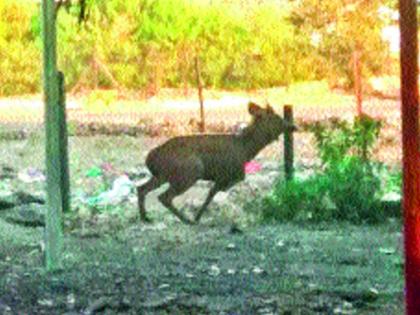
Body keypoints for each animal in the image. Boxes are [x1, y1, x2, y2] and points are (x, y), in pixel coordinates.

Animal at [137, 102, 292, 225]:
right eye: (276, 118)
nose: (292, 126)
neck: (246, 151)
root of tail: (150, 158)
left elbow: (212, 192)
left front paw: (198, 216)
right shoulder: (231, 173)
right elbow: (215, 190)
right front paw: (197, 217)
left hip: (162, 175)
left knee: (141, 188)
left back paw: (146, 217)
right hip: (190, 171)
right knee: (164, 197)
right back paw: (186, 220)